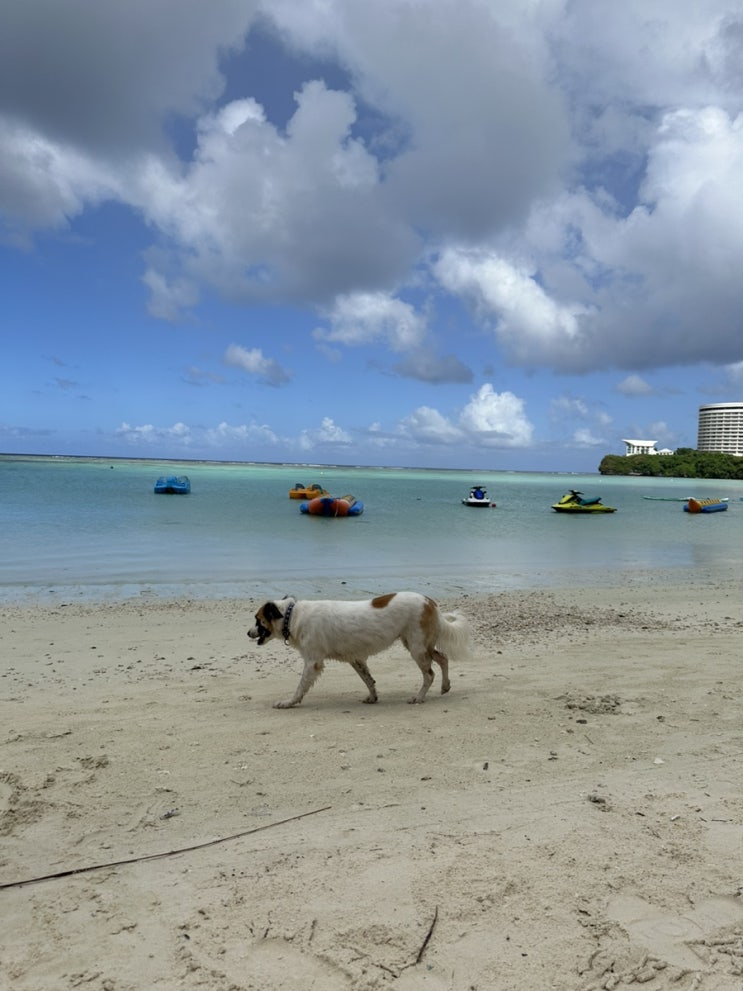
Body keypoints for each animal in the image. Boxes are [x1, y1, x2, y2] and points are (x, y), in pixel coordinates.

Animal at [248, 591, 470, 708]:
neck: (291, 616)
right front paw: (372, 697)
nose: (248, 633)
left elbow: (300, 687)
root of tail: (429, 601)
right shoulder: (355, 659)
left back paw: (420, 697)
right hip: (419, 645)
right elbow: (369, 680)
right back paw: (445, 686)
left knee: (429, 674)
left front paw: (289, 702)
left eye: (258, 620)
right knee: (443, 658)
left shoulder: (312, 663)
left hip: (417, 648)